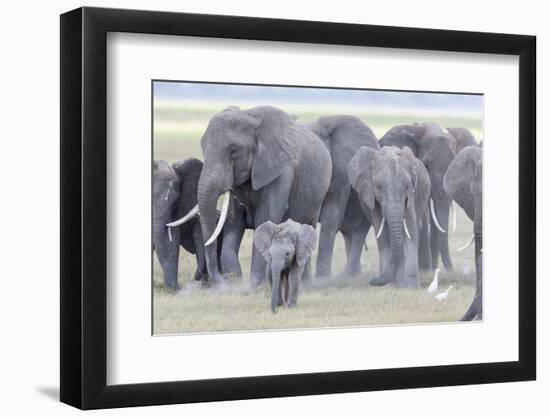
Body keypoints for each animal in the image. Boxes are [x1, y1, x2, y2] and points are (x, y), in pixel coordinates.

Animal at [185, 105, 334, 284]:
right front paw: (235, 281)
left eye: (233, 151)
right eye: (202, 147)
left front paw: (255, 285)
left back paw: (304, 284)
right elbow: (233, 223)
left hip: (318, 197)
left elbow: (265, 219)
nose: (215, 280)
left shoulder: (281, 172)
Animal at [308, 115, 382, 278]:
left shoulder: (341, 174)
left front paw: (322, 279)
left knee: (359, 231)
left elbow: (331, 216)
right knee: (348, 233)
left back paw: (349, 276)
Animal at [350, 145, 432, 286]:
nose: (372, 280)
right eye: (378, 187)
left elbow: (411, 231)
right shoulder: (372, 199)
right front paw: (392, 284)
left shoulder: (411, 196)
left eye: (407, 186)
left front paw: (412, 287)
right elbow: (382, 235)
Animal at [382, 122, 460, 272]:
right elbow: (424, 217)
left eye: (453, 166)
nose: (451, 270)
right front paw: (425, 270)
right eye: (426, 165)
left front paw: (432, 269)